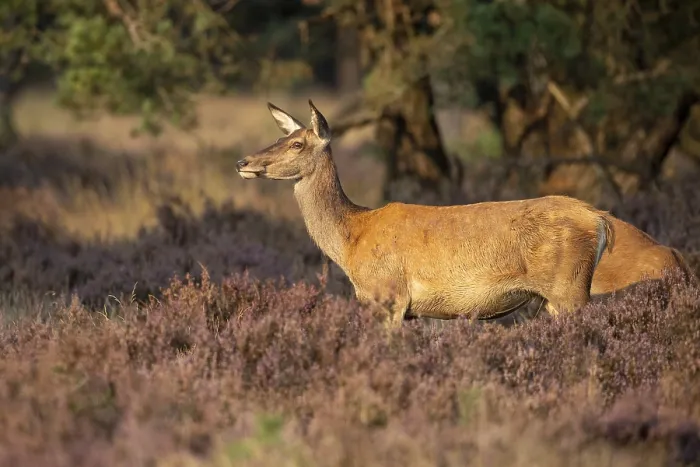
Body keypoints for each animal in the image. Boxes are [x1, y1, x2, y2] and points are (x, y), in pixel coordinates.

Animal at [235, 100, 617, 329]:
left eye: (297, 144)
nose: (243, 162)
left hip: (568, 288)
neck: (350, 241)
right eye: (281, 138)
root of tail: (600, 220)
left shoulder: (389, 296)